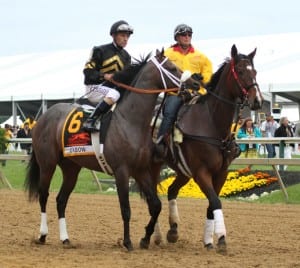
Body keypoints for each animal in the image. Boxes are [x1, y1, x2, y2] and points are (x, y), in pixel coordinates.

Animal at [24, 48, 200, 251]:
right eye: (172, 67)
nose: (195, 82)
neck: (129, 121)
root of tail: (44, 117)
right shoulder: (121, 171)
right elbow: (126, 209)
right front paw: (127, 242)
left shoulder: (140, 170)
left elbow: (155, 205)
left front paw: (145, 238)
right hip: (47, 164)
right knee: (43, 195)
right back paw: (42, 235)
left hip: (71, 168)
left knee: (61, 200)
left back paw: (65, 239)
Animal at [152, 44, 262, 253]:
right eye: (240, 71)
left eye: (255, 71)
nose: (257, 101)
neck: (211, 123)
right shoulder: (201, 173)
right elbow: (215, 201)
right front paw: (221, 238)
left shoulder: (221, 172)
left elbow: (212, 205)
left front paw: (210, 240)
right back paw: (157, 235)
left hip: (182, 171)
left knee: (171, 190)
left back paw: (173, 230)